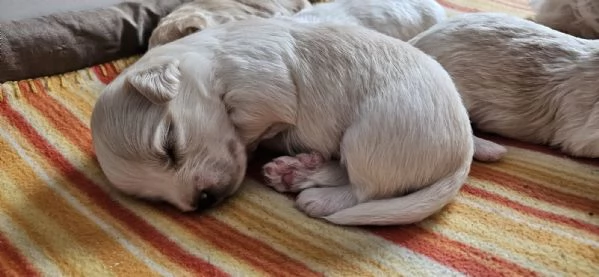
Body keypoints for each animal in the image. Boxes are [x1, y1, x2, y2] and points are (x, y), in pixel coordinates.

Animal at [91, 16, 476, 224]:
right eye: (152, 198)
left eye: (169, 146)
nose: (203, 201)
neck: (211, 66)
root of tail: (464, 151)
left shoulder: (263, 85)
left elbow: (254, 121)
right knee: (346, 172)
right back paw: (296, 172)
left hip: (370, 136)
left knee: (365, 189)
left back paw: (314, 195)